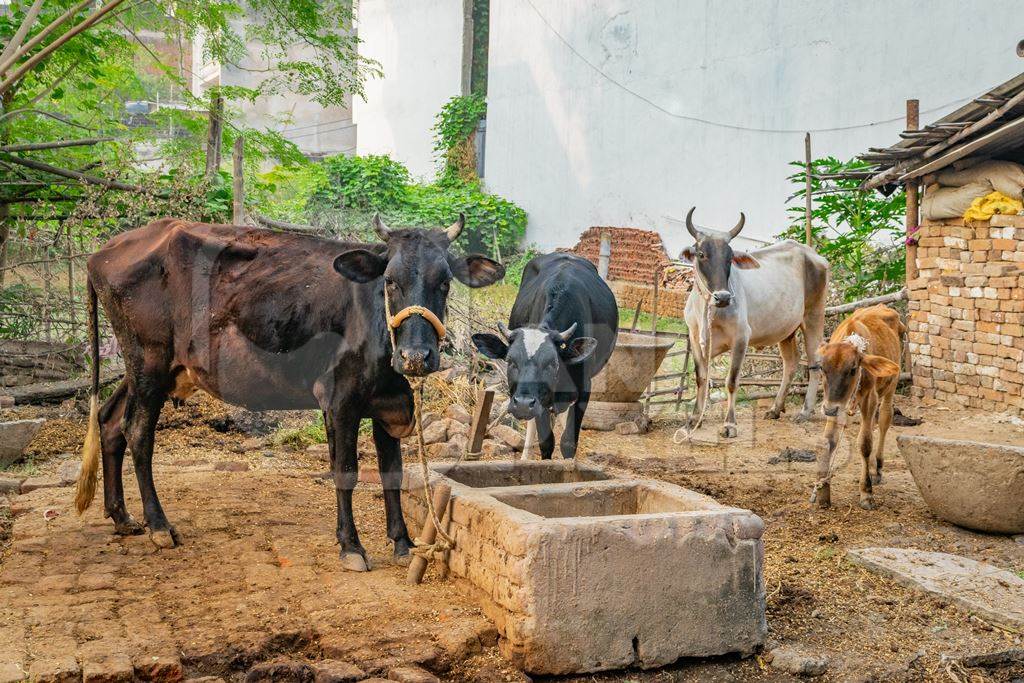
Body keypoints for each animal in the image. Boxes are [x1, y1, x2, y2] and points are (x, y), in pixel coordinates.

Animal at [471, 252, 614, 458]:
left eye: (552, 363)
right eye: (510, 361)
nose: (523, 404)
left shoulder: (584, 388)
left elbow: (568, 442)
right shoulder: (540, 401)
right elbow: (547, 442)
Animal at [675, 208, 827, 440]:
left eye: (730, 258)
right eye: (701, 254)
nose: (723, 297)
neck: (709, 309)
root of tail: (813, 254)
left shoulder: (740, 338)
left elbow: (731, 381)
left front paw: (730, 424)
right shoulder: (694, 339)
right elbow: (701, 377)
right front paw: (694, 419)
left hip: (813, 316)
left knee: (815, 362)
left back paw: (805, 411)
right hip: (787, 330)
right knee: (791, 362)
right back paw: (775, 408)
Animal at [811, 305, 901, 507]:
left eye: (852, 369)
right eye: (822, 368)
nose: (829, 409)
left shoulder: (870, 399)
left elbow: (865, 443)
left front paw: (866, 492)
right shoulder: (835, 404)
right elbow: (828, 441)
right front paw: (822, 490)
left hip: (891, 386)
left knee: (884, 419)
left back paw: (878, 467)